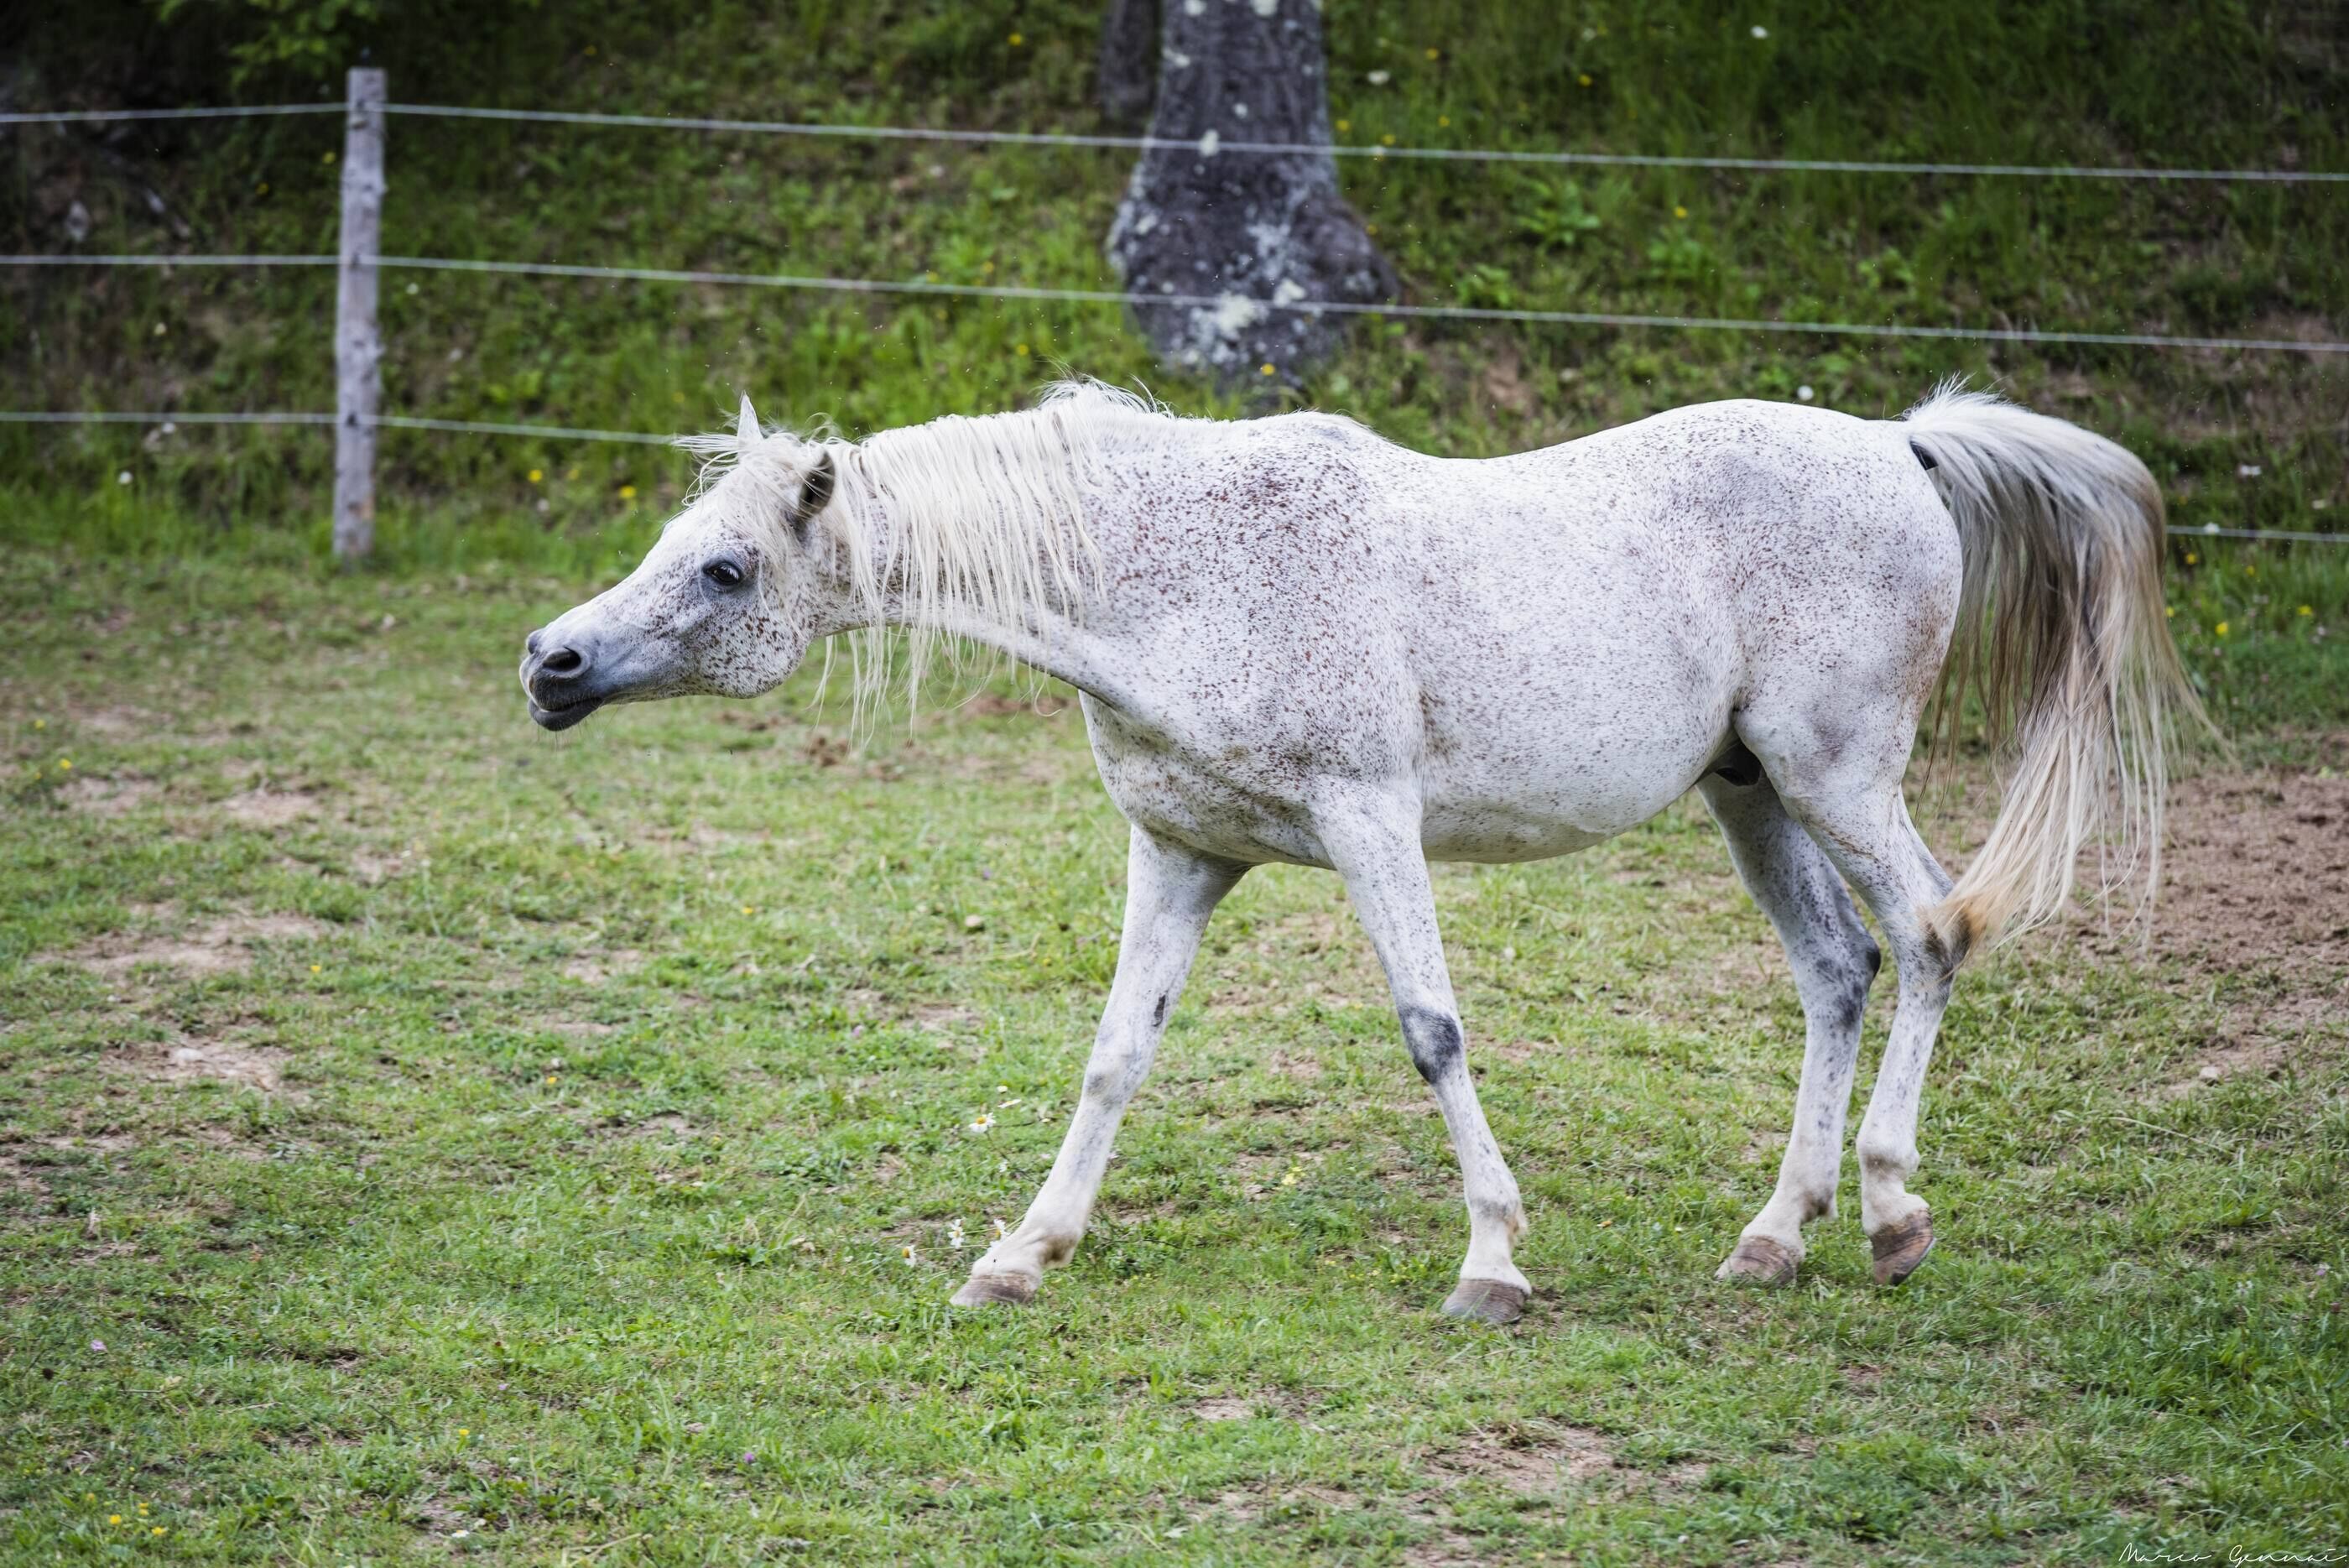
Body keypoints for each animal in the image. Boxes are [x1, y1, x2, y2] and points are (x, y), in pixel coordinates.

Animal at [519, 380, 2194, 1323]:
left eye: (728, 569)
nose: (551, 661)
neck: (1176, 572)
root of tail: (1905, 449)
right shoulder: (1180, 852)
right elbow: (1115, 1055)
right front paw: (1023, 1250)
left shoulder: (1371, 822)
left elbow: (1430, 1029)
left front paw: (1493, 1263)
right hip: (1750, 791)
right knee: (1838, 969)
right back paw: (1776, 1238)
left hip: (1837, 774)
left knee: (1926, 935)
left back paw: (1895, 1215)